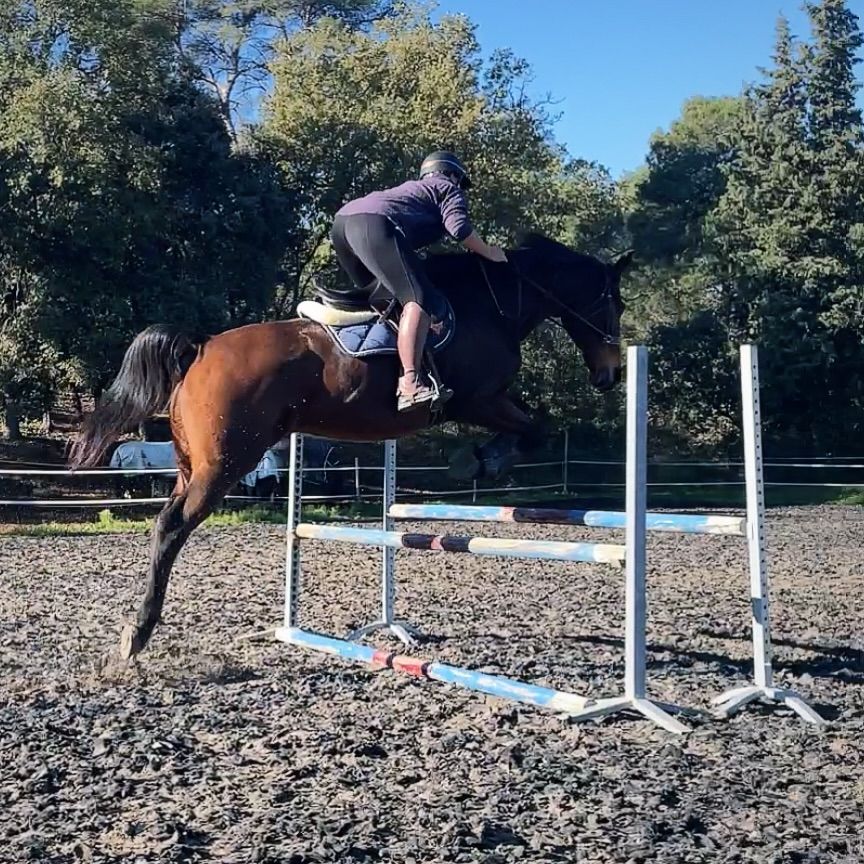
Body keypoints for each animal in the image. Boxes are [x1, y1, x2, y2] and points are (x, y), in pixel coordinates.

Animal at [70, 233, 632, 659]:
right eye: (616, 303)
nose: (611, 375)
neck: (491, 304)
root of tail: (202, 345)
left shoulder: (485, 400)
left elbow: (533, 426)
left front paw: (481, 459)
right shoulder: (477, 399)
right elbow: (535, 428)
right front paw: (480, 461)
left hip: (193, 464)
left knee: (165, 520)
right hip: (223, 466)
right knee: (171, 527)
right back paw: (138, 632)